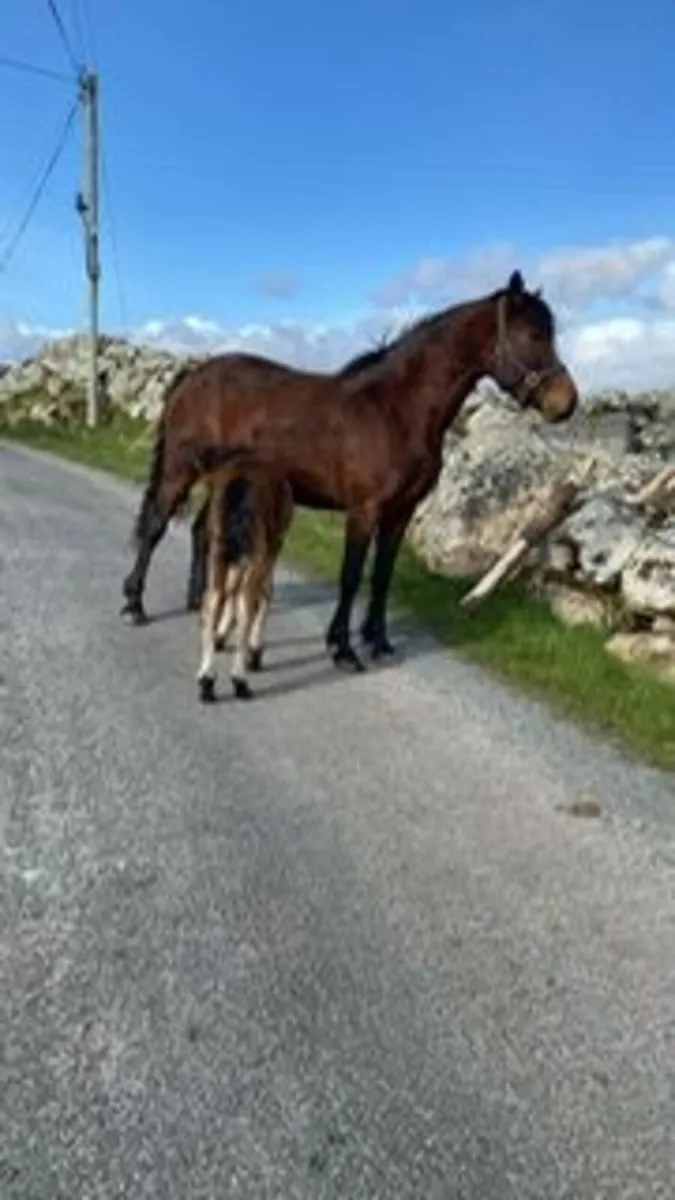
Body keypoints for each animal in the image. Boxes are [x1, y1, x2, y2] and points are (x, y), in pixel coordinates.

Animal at [121, 270, 579, 672]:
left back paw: (200, 603)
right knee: (156, 526)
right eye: (533, 335)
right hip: (180, 470)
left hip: (225, 479)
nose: (566, 403)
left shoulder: (400, 512)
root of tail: (193, 375)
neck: (395, 410)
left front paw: (379, 642)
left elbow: (381, 577)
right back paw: (134, 605)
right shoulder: (365, 510)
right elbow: (352, 577)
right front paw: (342, 649)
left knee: (202, 530)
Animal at [192, 446, 294, 703]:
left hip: (218, 549)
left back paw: (207, 679)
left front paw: (220, 637)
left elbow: (229, 590)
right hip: (258, 550)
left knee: (214, 598)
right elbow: (264, 593)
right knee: (247, 601)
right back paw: (240, 679)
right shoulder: (271, 546)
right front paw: (255, 652)